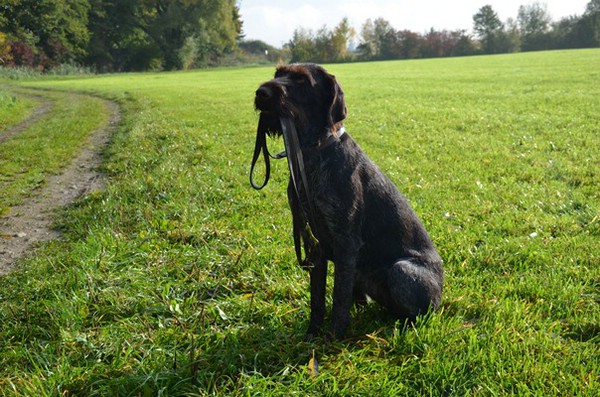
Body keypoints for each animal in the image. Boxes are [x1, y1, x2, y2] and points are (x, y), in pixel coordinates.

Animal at [251, 62, 442, 338]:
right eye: (278, 73)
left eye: (302, 80)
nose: (261, 93)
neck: (314, 154)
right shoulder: (314, 244)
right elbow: (317, 298)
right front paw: (312, 333)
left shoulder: (346, 241)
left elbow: (339, 296)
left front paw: (334, 335)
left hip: (402, 271)